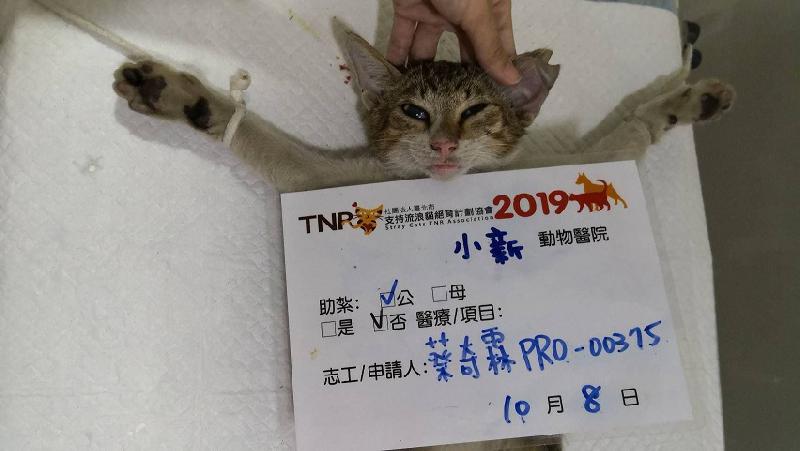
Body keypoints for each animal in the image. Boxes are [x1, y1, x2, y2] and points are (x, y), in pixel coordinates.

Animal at [110, 28, 734, 451]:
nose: (443, 144)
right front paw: (180, 94)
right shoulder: (318, 184)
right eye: (413, 111)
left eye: (476, 109)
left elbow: (631, 132)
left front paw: (690, 99)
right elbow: (264, 141)